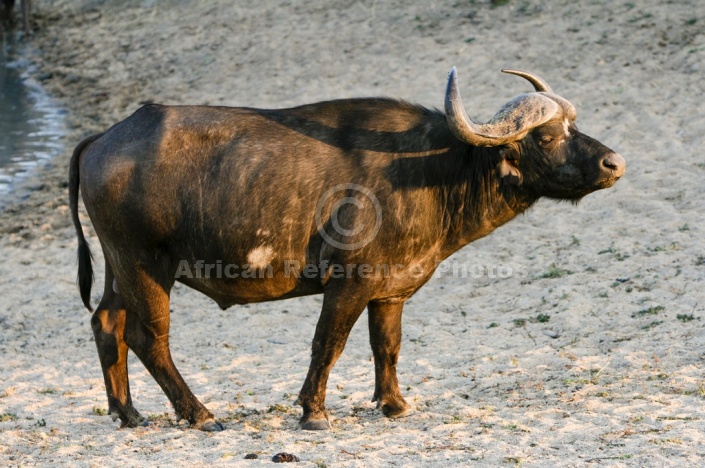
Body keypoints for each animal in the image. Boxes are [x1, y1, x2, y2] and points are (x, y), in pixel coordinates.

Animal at [70, 66, 620, 432]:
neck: (433, 170)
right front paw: (314, 412)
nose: (614, 163)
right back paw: (200, 414)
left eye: (574, 127)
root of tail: (103, 139)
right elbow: (328, 343)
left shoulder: (390, 291)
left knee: (107, 324)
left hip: (120, 269)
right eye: (547, 136)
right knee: (149, 338)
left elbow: (387, 346)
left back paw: (128, 413)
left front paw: (394, 403)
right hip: (145, 266)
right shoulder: (349, 284)